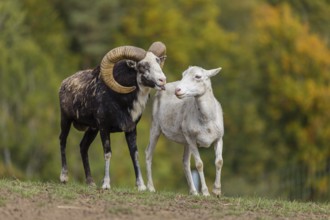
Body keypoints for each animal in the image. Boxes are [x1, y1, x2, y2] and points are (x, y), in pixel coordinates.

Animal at [145, 65, 224, 196]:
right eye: (183, 74)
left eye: (198, 76)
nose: (178, 90)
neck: (207, 121)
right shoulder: (192, 138)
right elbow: (199, 164)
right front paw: (205, 192)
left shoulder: (219, 137)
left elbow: (219, 161)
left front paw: (217, 191)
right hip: (155, 126)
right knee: (148, 153)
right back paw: (150, 187)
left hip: (185, 139)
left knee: (185, 162)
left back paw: (193, 191)